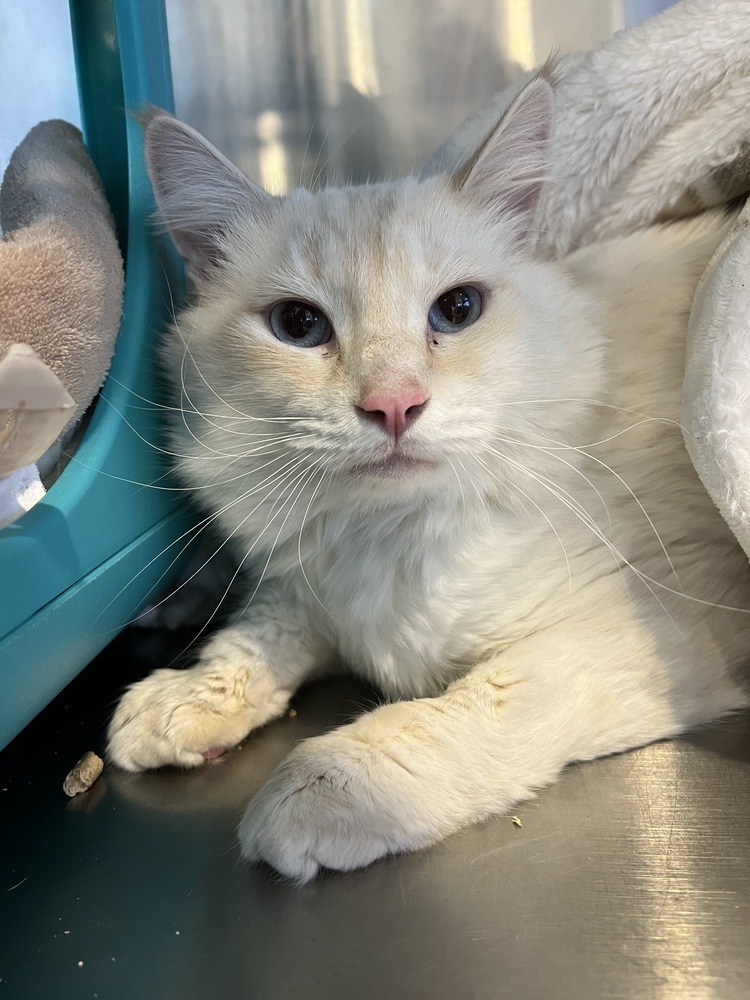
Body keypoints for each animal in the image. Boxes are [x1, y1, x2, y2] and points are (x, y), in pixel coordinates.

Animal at [108, 74, 750, 880]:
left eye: (459, 309)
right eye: (298, 326)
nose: (393, 405)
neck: (395, 536)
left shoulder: (650, 621)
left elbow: (469, 709)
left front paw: (320, 790)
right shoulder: (312, 595)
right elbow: (255, 638)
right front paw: (180, 700)